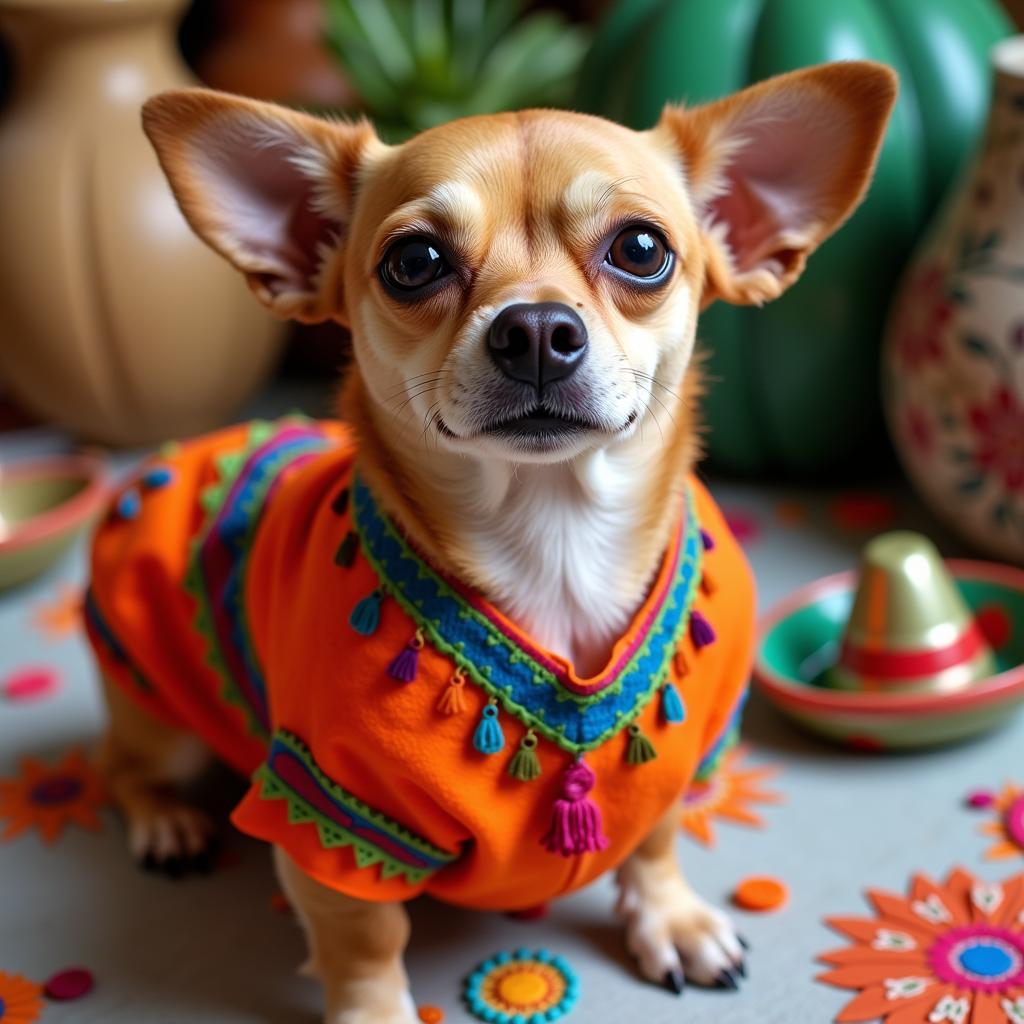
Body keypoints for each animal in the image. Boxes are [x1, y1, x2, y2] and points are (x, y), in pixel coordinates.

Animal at [94, 64, 897, 1024]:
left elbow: (655, 842)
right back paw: (165, 821)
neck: (556, 544)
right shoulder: (330, 816)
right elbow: (366, 940)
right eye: (414, 263)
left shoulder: (675, 764)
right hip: (158, 713)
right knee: (124, 768)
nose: (538, 328)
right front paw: (374, 1014)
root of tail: (176, 456)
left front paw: (669, 918)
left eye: (641, 248)